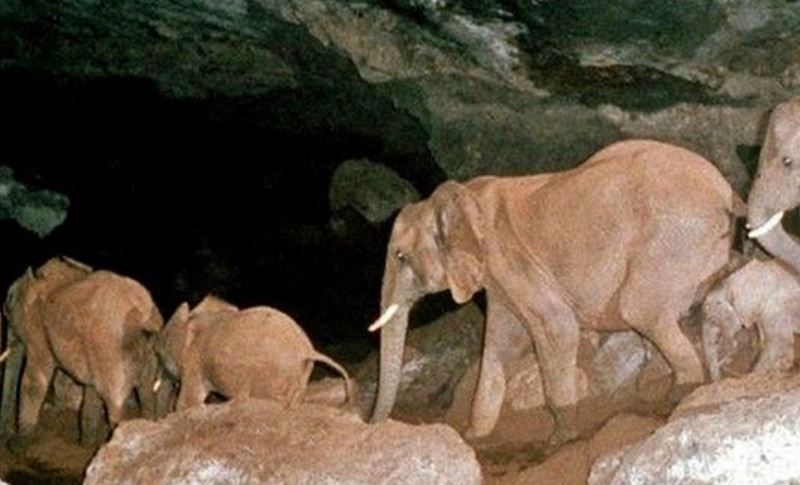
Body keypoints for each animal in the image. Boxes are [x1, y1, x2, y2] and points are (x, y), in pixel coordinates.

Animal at [1, 256, 163, 443]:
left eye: (8, 312)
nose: (6, 437)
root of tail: (145, 319)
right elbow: (89, 390)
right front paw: (84, 443)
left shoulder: (38, 329)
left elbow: (34, 381)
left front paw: (18, 444)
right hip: (146, 353)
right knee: (146, 395)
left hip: (112, 351)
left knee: (115, 405)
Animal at [157, 295, 354, 412]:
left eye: (160, 352)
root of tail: (307, 349)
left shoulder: (194, 363)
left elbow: (188, 403)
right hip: (301, 371)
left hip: (272, 372)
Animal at [369, 139, 742, 440]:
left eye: (401, 257)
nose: (373, 425)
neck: (463, 197)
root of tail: (727, 193)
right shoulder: (500, 280)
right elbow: (498, 346)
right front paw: (474, 437)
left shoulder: (511, 261)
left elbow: (557, 329)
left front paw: (559, 440)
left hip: (675, 240)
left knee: (639, 310)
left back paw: (676, 396)